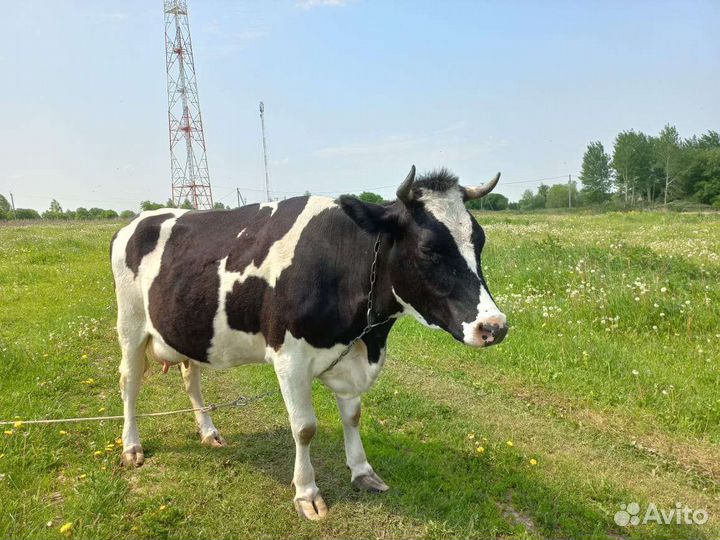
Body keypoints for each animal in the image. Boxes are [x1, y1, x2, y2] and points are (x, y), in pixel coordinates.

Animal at [110, 166, 508, 520]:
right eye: (428, 249)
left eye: (480, 240)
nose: (495, 326)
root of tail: (137, 220)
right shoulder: (290, 358)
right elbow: (304, 428)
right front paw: (307, 493)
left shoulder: (350, 356)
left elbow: (353, 415)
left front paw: (362, 471)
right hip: (130, 325)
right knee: (129, 384)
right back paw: (132, 446)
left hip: (186, 329)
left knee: (190, 378)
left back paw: (208, 432)